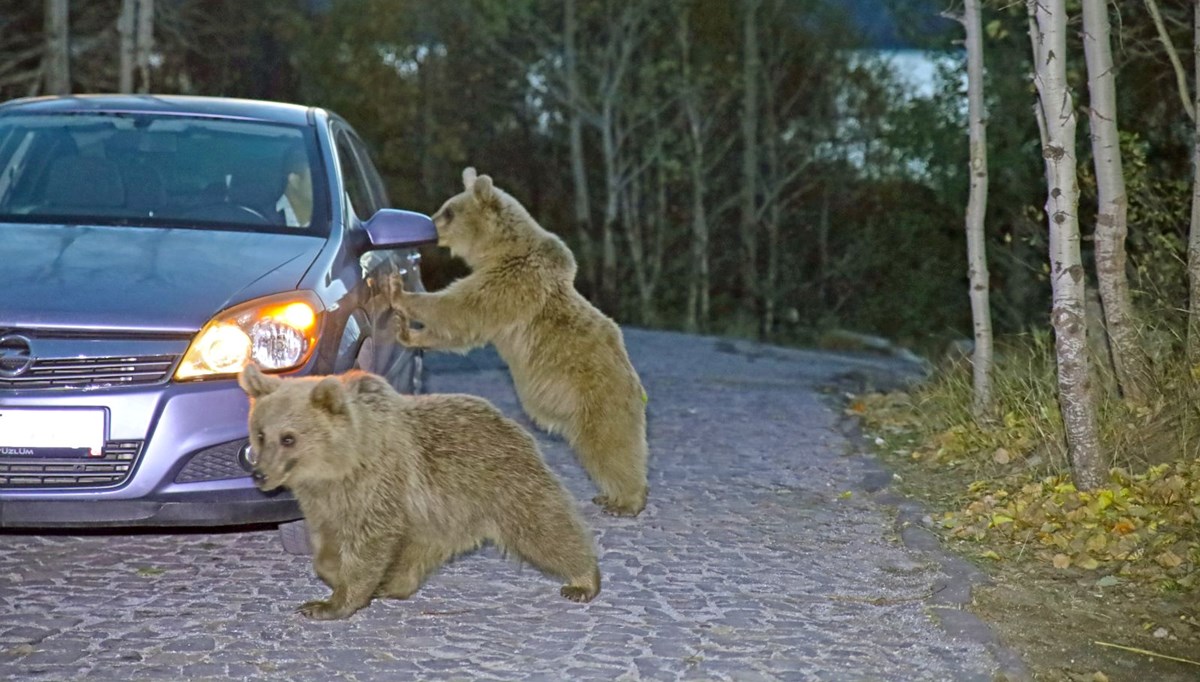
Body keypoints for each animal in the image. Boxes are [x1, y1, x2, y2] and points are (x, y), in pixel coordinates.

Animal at [236, 365, 600, 619]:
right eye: (260, 433)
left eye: (288, 437)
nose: (259, 473)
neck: (340, 465)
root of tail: (512, 423)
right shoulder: (323, 501)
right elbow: (327, 544)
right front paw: (336, 575)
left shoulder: (378, 485)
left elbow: (368, 544)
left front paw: (330, 603)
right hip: (439, 514)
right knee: (418, 552)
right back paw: (392, 584)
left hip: (501, 484)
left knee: (544, 529)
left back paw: (584, 579)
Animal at [391, 166, 648, 516]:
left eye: (449, 211)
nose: (428, 226)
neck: (498, 250)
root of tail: (636, 386)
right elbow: (460, 329)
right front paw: (409, 333)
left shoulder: (511, 283)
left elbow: (460, 308)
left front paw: (399, 293)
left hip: (599, 395)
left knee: (610, 445)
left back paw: (625, 500)